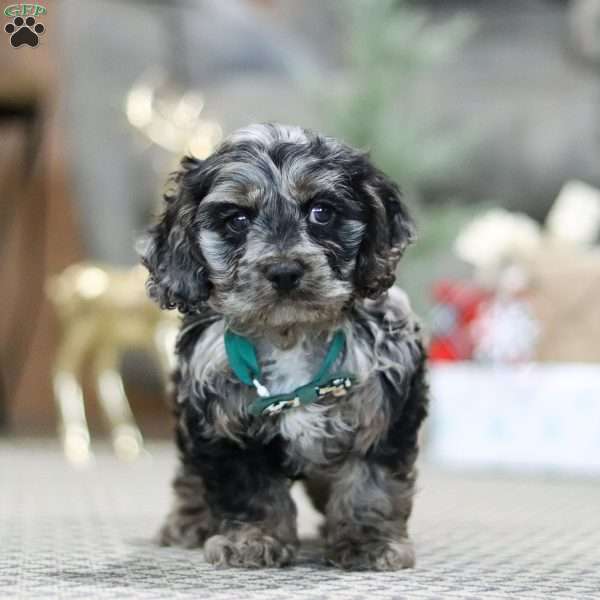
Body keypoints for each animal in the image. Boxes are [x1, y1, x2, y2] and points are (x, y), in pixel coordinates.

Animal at [139, 123, 428, 572]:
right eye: (237, 220)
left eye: (322, 212)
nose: (284, 271)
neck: (290, 332)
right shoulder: (223, 420)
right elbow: (249, 489)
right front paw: (253, 539)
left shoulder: (384, 404)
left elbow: (372, 482)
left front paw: (368, 542)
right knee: (189, 473)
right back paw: (188, 520)